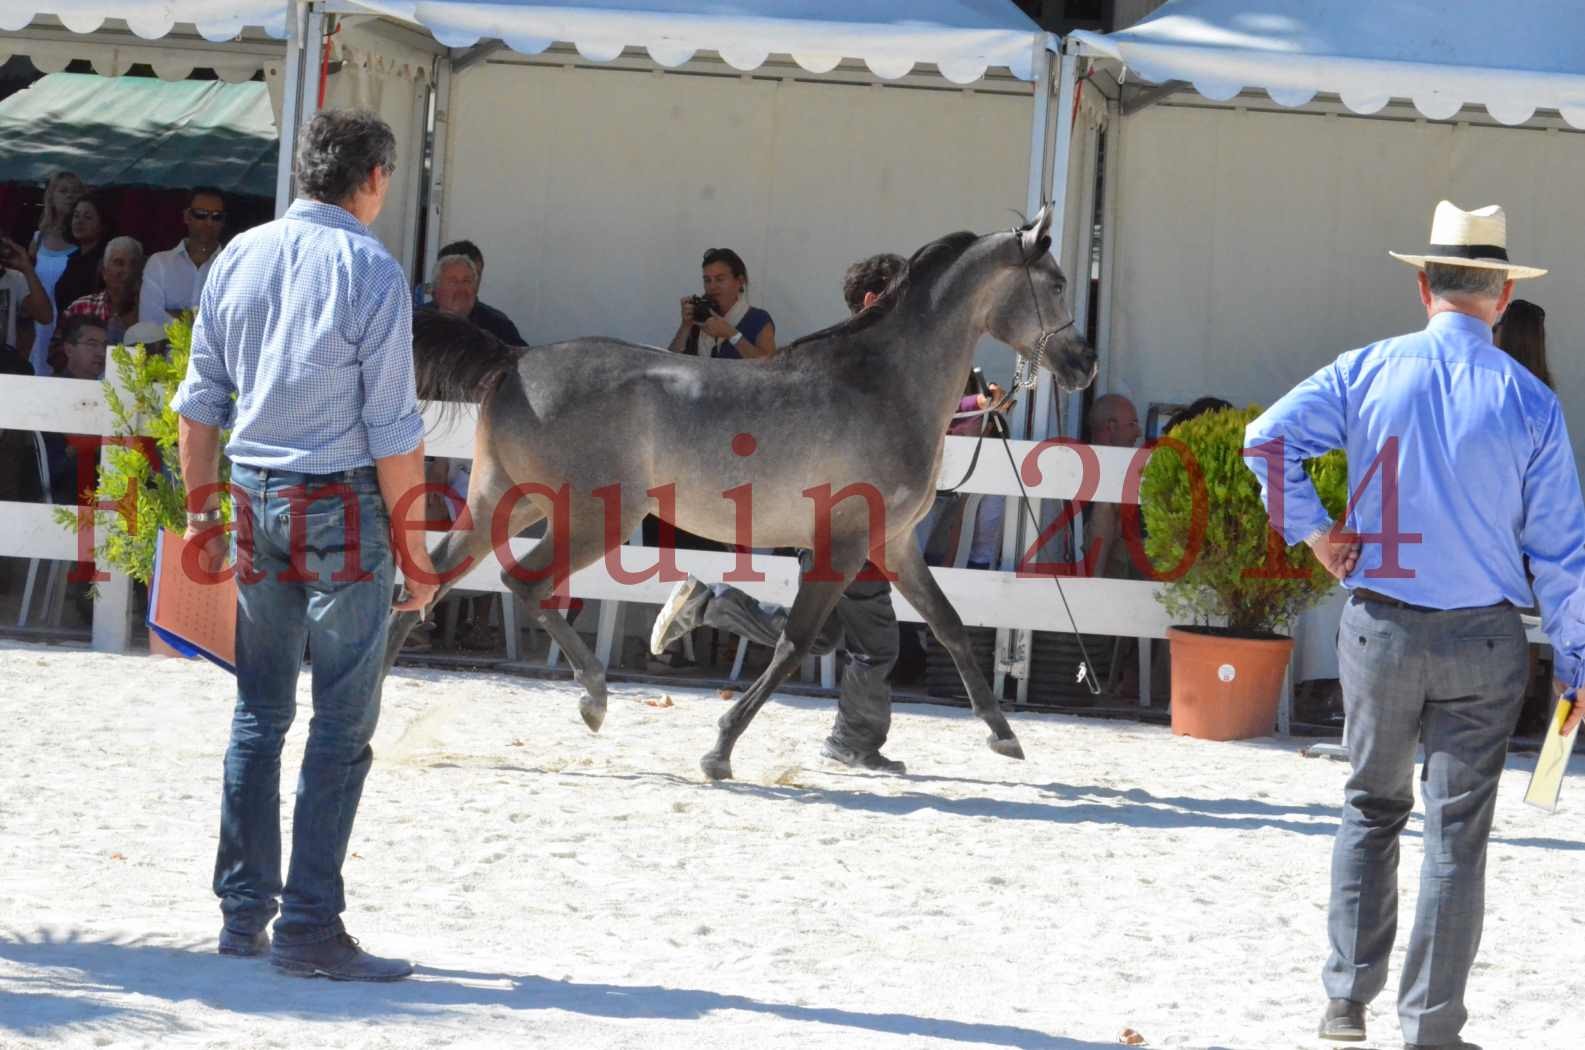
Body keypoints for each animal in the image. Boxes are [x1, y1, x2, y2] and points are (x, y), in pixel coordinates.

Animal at [389, 207, 1096, 780]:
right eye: (1059, 282)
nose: (1084, 364)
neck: (885, 385)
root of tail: (514, 361)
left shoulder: (892, 542)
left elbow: (946, 624)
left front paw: (1004, 737)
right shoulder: (846, 542)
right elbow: (796, 643)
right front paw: (719, 750)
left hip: (501, 502)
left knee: (427, 583)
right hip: (591, 517)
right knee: (524, 583)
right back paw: (593, 697)